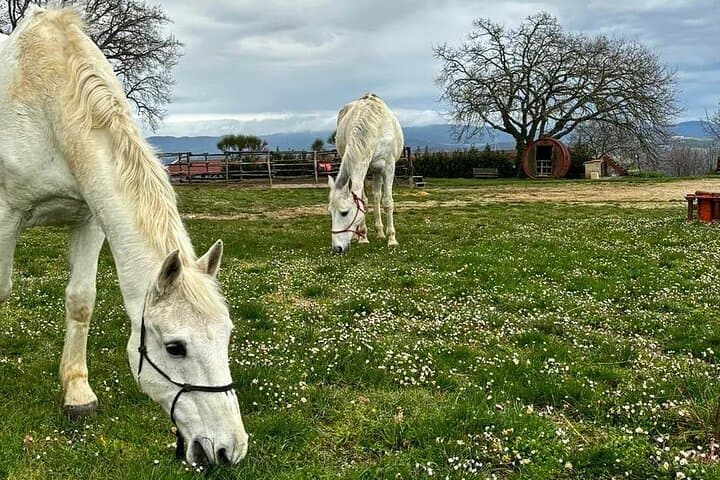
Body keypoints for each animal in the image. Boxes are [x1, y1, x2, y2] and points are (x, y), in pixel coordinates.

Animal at [0, 8, 248, 464]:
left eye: (226, 335)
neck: (47, 101)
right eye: (175, 347)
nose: (229, 449)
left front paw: (77, 393)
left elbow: (81, 301)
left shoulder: (90, 217)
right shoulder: (6, 216)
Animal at [328, 93, 404, 254]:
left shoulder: (388, 167)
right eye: (330, 212)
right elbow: (363, 201)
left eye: (344, 212)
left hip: (378, 171)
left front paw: (392, 240)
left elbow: (387, 202)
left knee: (377, 197)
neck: (375, 127)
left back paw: (381, 233)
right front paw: (363, 237)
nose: (336, 249)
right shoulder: (362, 168)